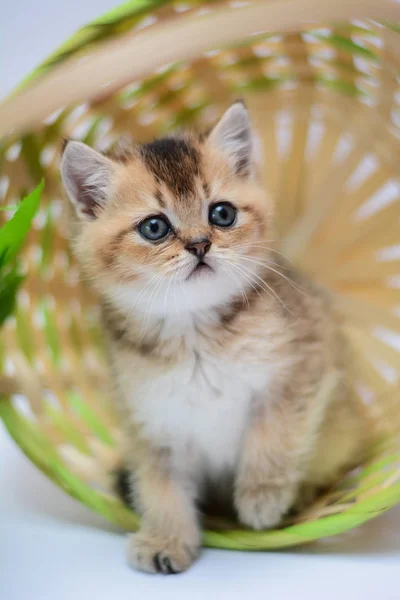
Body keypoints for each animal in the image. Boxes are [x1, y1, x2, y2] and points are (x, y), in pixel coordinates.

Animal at [60, 102, 368, 572]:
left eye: (222, 214)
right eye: (154, 227)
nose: (200, 244)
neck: (195, 335)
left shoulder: (302, 365)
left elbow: (274, 434)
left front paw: (263, 498)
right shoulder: (151, 421)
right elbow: (161, 487)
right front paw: (167, 539)